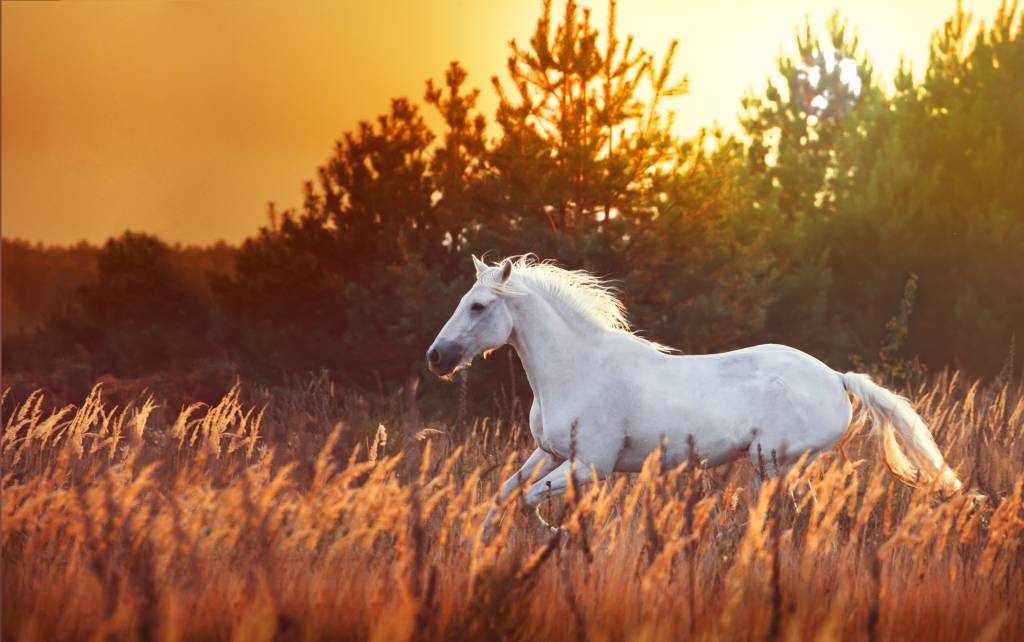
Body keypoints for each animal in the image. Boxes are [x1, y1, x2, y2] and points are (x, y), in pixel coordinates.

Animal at [426, 255, 963, 534]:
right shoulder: (549, 452)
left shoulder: (590, 466)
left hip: (776, 462)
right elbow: (504, 494)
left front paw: (553, 533)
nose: (436, 357)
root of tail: (836, 377)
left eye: (478, 306)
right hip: (774, 468)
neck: (578, 368)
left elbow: (530, 499)